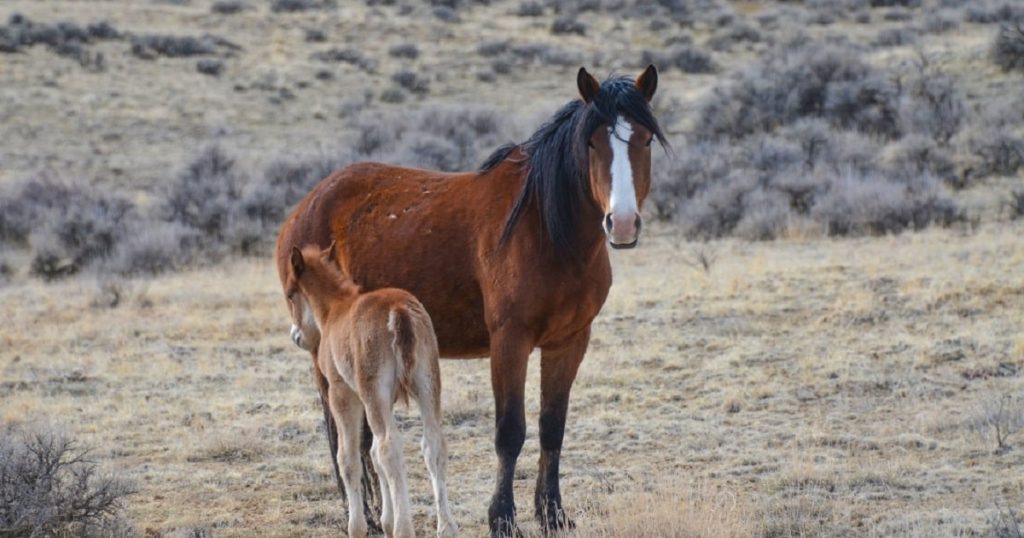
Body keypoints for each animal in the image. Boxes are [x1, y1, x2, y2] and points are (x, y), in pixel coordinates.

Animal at [282, 242, 454, 536]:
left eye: (290, 294)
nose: (297, 336)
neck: (334, 310)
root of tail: (399, 309)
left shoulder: (342, 393)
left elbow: (349, 458)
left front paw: (358, 527)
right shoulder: (385, 399)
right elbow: (371, 453)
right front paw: (386, 521)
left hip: (373, 391)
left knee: (389, 447)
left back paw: (404, 528)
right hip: (427, 382)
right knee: (433, 445)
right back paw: (446, 528)